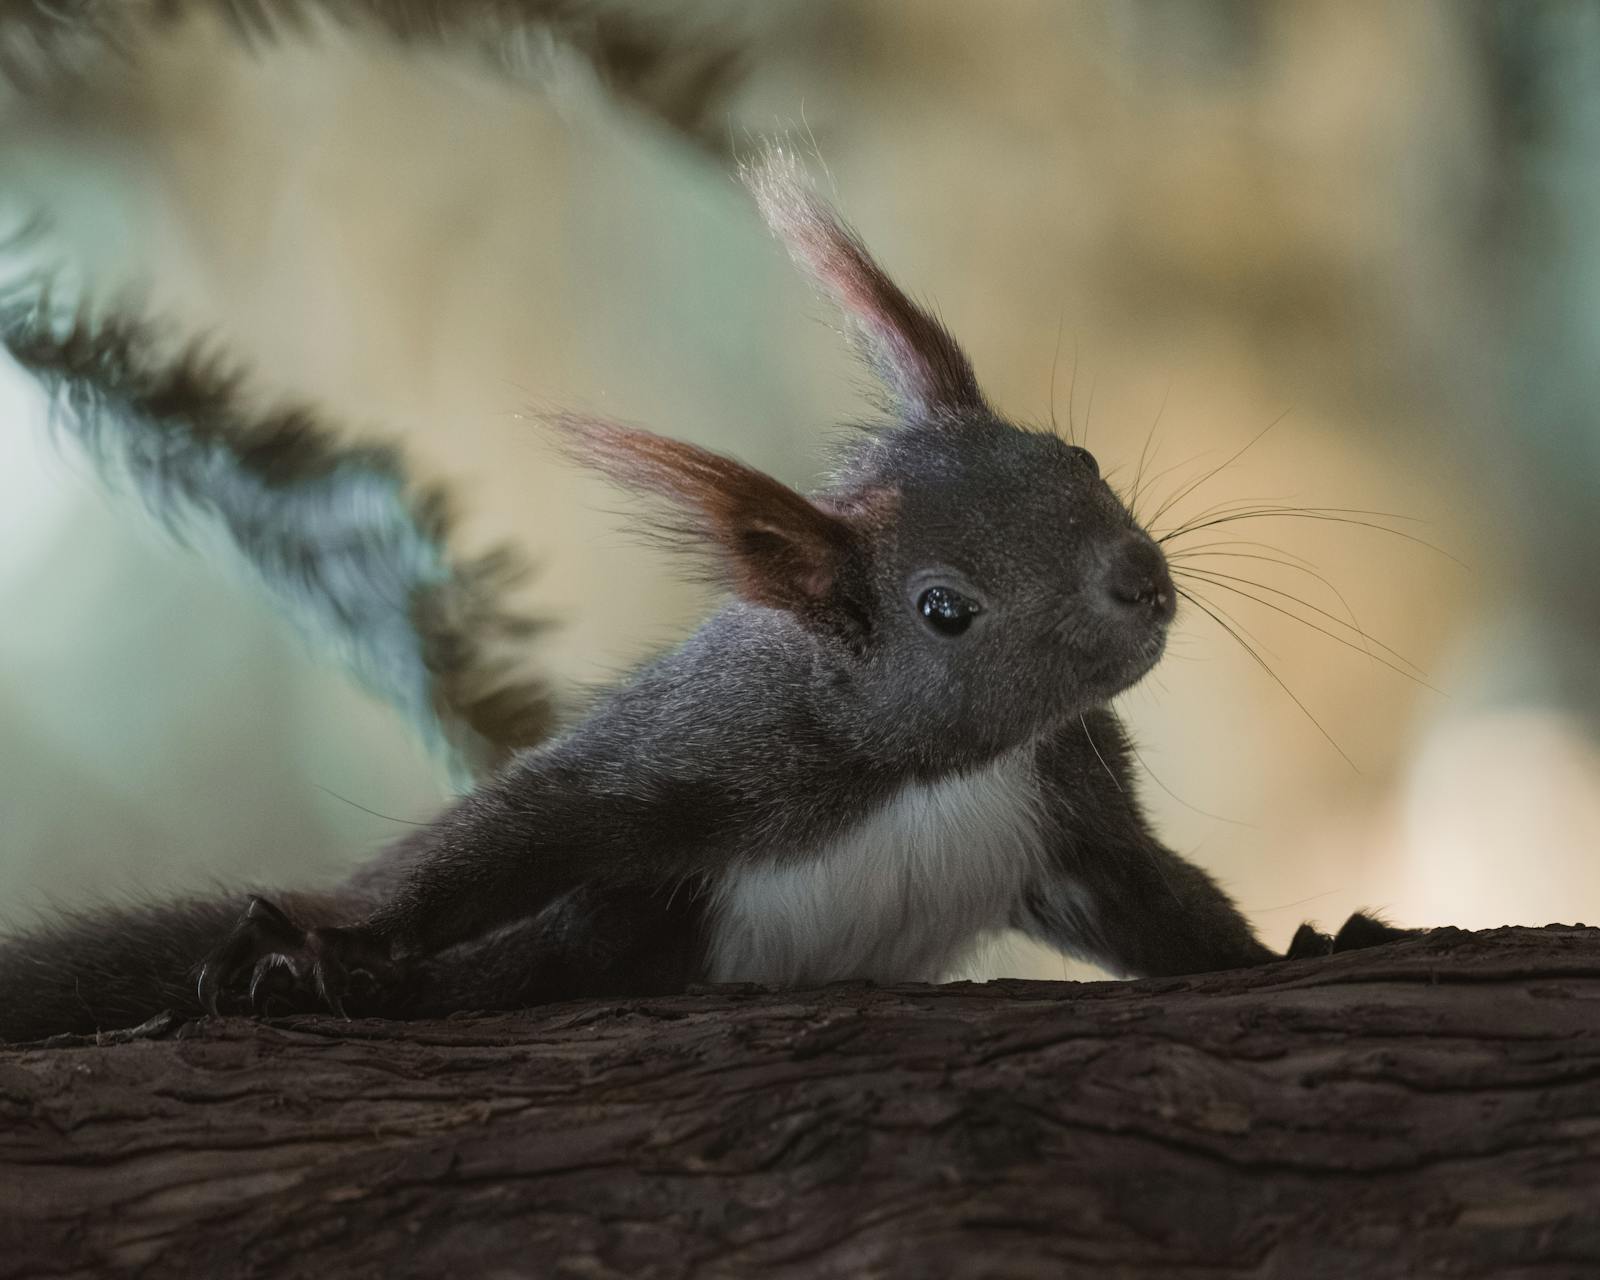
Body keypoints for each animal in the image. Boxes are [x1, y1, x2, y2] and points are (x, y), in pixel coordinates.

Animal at [0, 155, 1414, 1043]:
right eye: (942, 608)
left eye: (1077, 458)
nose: (1141, 580)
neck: (938, 766)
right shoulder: (703, 749)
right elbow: (514, 829)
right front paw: (329, 942)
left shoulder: (1068, 803)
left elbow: (1158, 904)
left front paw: (1308, 948)